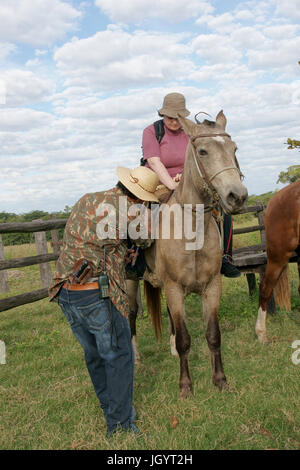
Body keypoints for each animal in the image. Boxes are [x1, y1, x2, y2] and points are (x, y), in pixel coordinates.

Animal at [127, 111, 247, 396]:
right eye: (202, 151)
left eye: (233, 149)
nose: (237, 196)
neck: (192, 232)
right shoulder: (173, 288)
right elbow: (184, 339)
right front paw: (185, 386)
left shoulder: (211, 287)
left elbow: (213, 334)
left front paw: (220, 380)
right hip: (130, 282)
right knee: (131, 315)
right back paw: (136, 356)